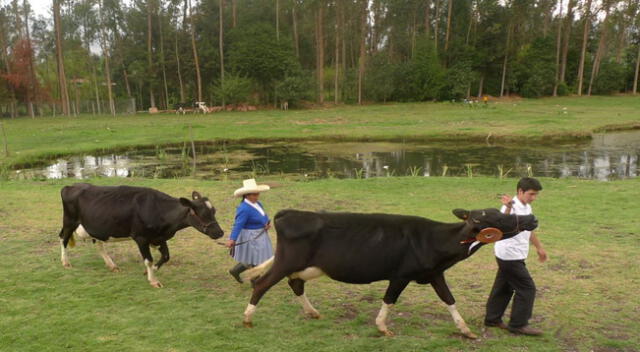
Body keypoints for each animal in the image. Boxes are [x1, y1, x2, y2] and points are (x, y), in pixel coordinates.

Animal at [58, 183, 222, 288]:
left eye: (214, 211)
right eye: (199, 213)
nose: (220, 232)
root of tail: (71, 186)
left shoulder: (159, 237)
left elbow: (166, 256)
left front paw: (150, 272)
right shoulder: (141, 238)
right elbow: (148, 260)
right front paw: (154, 280)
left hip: (95, 226)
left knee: (98, 243)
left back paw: (112, 265)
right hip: (69, 221)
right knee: (63, 238)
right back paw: (65, 262)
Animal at [239, 209, 536, 338]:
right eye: (497, 218)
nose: (532, 219)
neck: (434, 240)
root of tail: (290, 212)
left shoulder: (434, 274)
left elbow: (449, 300)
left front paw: (465, 329)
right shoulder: (401, 275)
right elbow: (389, 299)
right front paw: (382, 327)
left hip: (309, 266)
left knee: (296, 284)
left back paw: (312, 312)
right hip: (287, 261)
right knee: (261, 283)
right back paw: (248, 319)